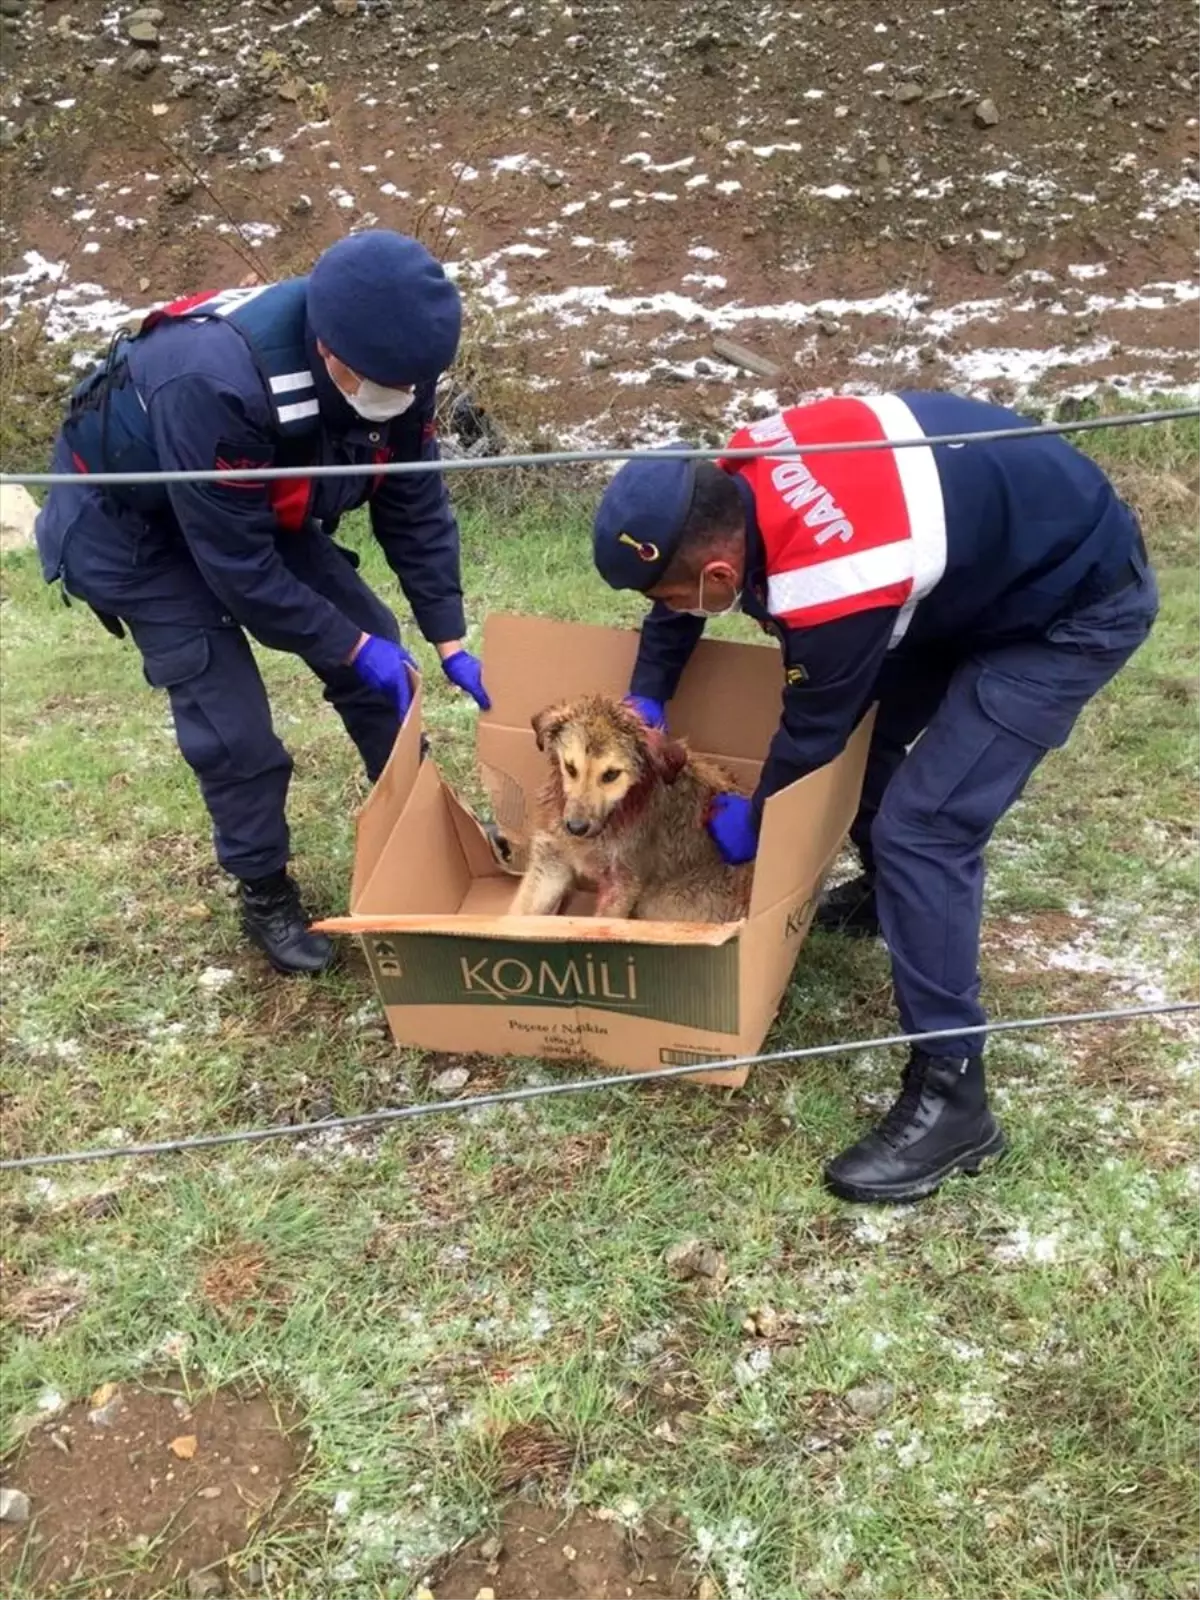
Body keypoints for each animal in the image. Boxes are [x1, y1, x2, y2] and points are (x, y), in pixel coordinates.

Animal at [508, 697, 752, 928]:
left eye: (611, 775)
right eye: (570, 768)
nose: (575, 828)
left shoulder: (623, 884)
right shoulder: (551, 858)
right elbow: (518, 915)